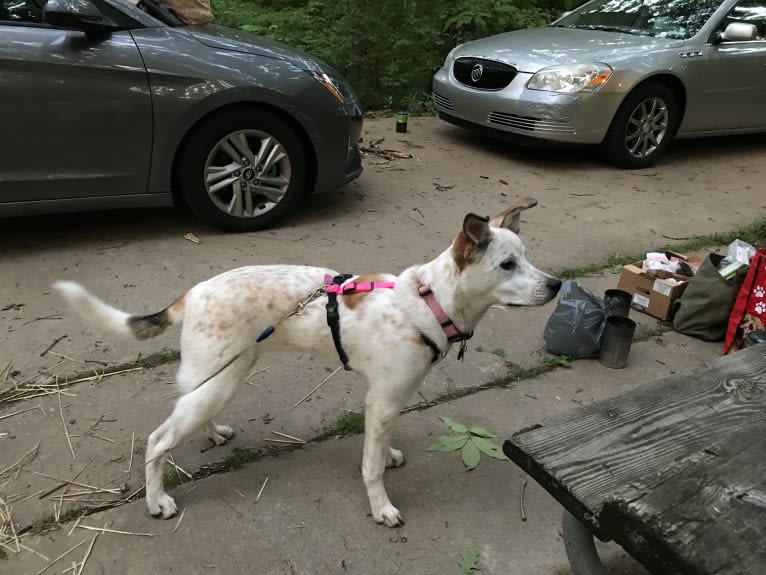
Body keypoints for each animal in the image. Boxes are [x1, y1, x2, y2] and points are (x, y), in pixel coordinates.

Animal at [52, 200, 560, 528]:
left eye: (527, 257)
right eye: (508, 264)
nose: (556, 285)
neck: (427, 301)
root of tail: (192, 292)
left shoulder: (387, 401)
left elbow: (380, 448)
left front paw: (389, 456)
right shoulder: (382, 400)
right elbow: (370, 467)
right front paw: (380, 508)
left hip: (222, 376)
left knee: (190, 414)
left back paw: (212, 434)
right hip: (218, 380)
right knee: (158, 441)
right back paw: (157, 500)